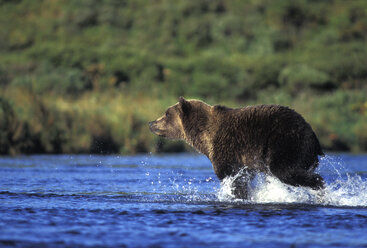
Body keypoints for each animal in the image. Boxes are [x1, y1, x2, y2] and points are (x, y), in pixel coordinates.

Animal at [150, 96, 324, 199]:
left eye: (166, 113)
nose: (151, 123)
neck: (204, 136)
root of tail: (313, 134)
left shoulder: (226, 151)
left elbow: (234, 178)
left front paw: (239, 195)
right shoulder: (247, 161)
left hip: (286, 142)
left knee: (285, 170)